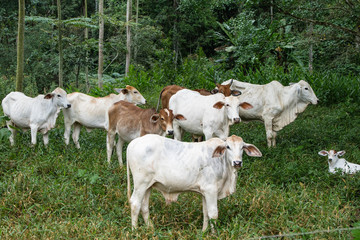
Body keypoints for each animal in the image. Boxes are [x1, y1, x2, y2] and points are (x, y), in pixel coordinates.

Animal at [126, 135, 262, 231]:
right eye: (228, 147)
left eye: (242, 147)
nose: (237, 162)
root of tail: (133, 142)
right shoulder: (211, 190)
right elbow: (213, 213)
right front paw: (214, 233)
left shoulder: (204, 192)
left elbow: (206, 212)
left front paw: (204, 231)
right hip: (140, 183)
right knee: (135, 203)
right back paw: (135, 230)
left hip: (148, 185)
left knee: (144, 206)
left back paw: (151, 228)